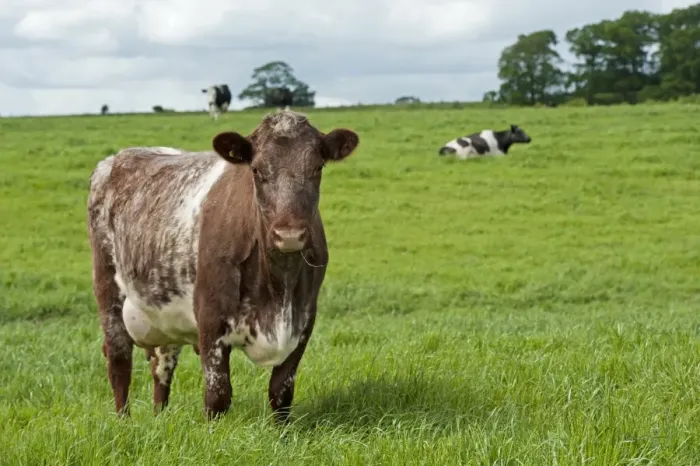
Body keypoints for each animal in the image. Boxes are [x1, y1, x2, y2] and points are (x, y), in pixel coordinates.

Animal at [86, 109, 360, 423]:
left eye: (317, 167)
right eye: (256, 170)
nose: (289, 234)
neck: (278, 287)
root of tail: (115, 158)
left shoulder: (304, 319)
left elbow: (281, 391)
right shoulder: (210, 318)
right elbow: (217, 395)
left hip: (164, 312)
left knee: (162, 366)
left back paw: (159, 417)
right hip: (108, 290)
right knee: (119, 362)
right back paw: (123, 420)